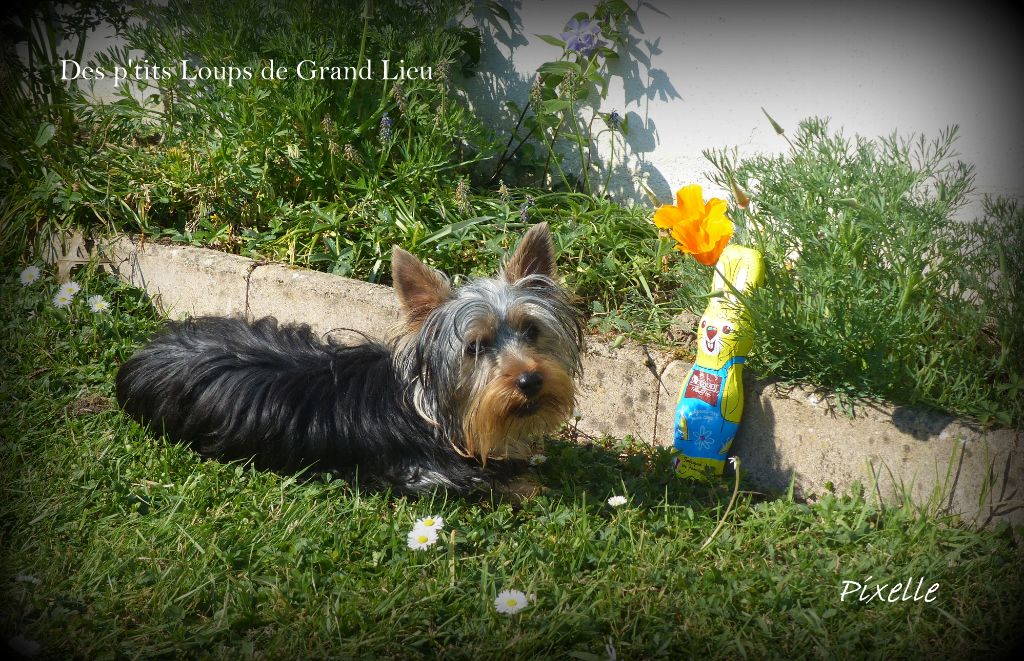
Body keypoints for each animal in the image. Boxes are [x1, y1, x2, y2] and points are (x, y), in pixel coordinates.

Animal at [115, 225, 581, 495]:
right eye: (475, 347)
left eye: (531, 331)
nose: (530, 381)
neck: (434, 409)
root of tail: (144, 354)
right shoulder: (424, 475)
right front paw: (530, 484)